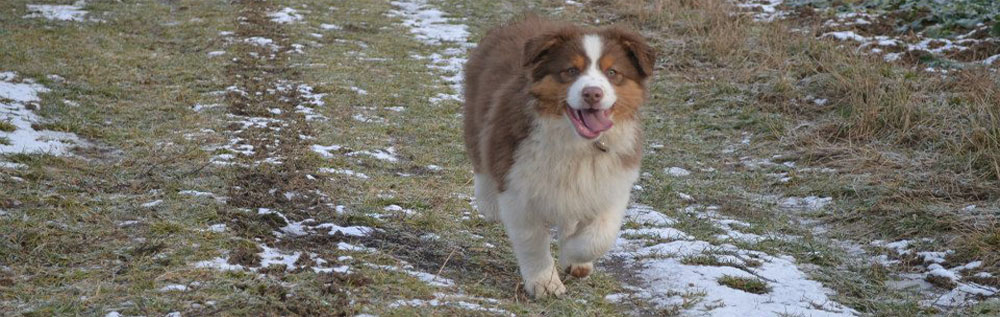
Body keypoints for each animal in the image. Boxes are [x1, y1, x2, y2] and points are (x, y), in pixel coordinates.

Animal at [462, 14, 656, 298]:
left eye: (612, 73)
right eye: (571, 71)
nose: (592, 93)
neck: (577, 143)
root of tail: (525, 19)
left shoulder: (612, 181)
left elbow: (600, 235)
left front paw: (574, 257)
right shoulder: (517, 186)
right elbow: (532, 240)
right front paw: (545, 283)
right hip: (477, 117)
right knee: (480, 160)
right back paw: (489, 204)